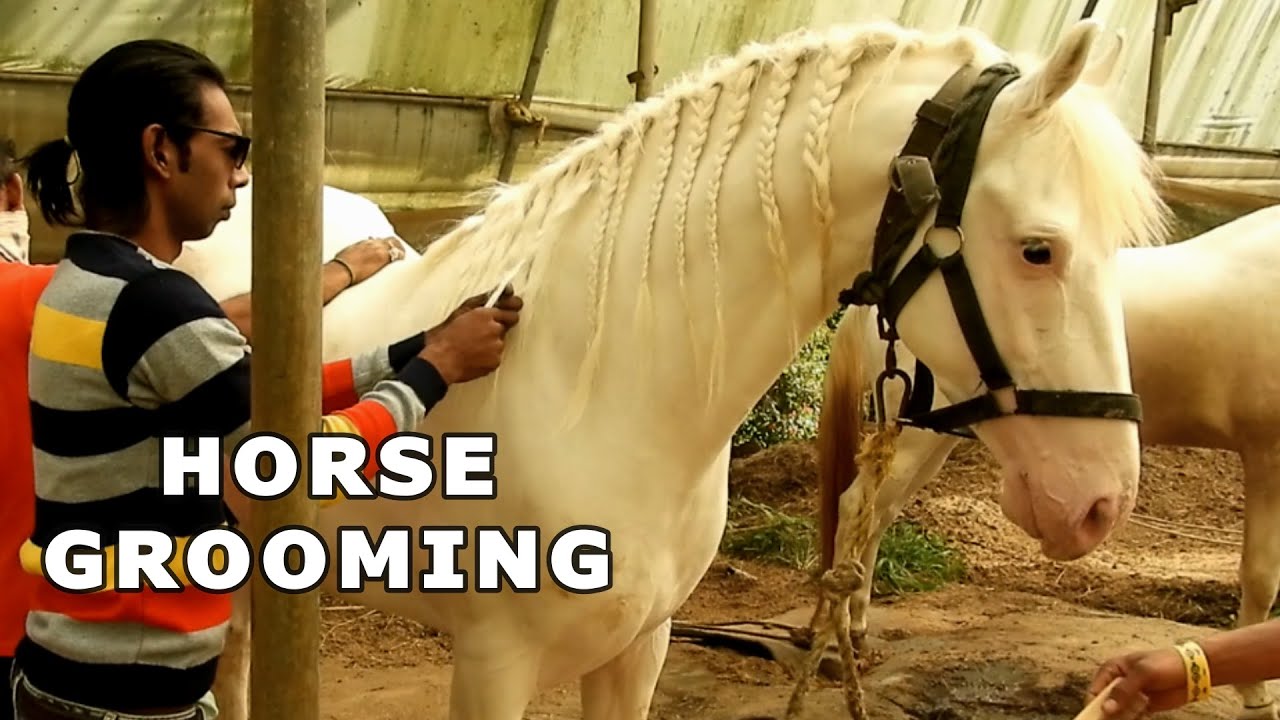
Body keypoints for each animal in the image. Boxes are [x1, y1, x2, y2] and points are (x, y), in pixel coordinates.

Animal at [816, 204, 1280, 720]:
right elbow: (1262, 576)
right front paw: (1256, 694)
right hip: (915, 439)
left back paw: (857, 625)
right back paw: (835, 640)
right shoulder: (1267, 454)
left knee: (877, 516)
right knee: (856, 507)